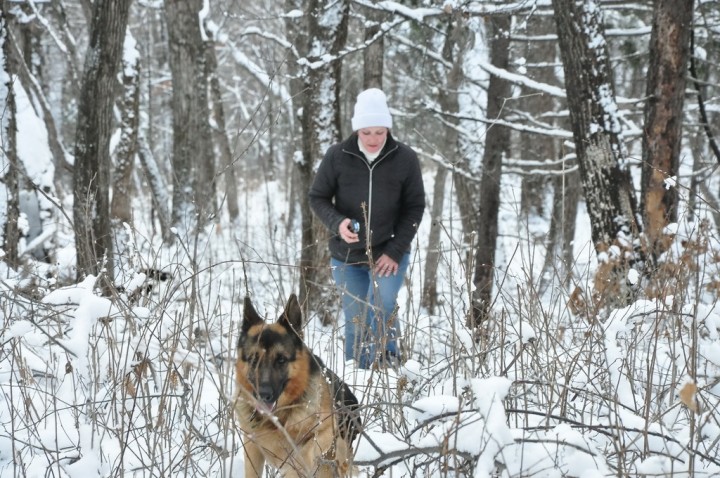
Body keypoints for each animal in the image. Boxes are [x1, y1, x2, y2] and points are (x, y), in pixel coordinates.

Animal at [235, 294, 360, 476]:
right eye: (253, 359)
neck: (277, 419)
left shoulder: (327, 430)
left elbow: (305, 452)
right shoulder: (252, 447)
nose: (263, 394)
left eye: (281, 360)